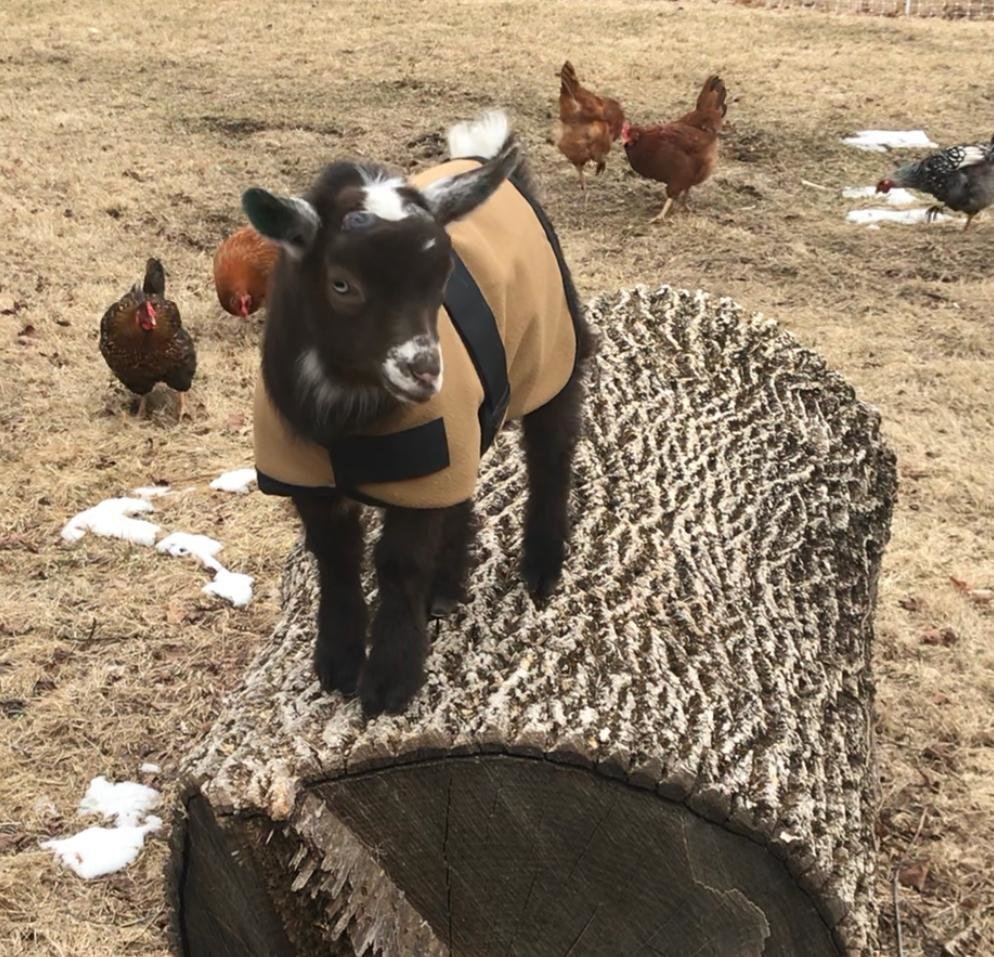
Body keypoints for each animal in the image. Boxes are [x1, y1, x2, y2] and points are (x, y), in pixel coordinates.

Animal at [243, 110, 593, 717]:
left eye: (442, 276)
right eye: (342, 283)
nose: (425, 370)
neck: (345, 421)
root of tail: (488, 161)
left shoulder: (423, 464)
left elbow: (398, 564)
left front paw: (390, 680)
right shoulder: (308, 474)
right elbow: (335, 558)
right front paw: (336, 663)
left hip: (553, 347)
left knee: (552, 453)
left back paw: (541, 569)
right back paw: (449, 585)